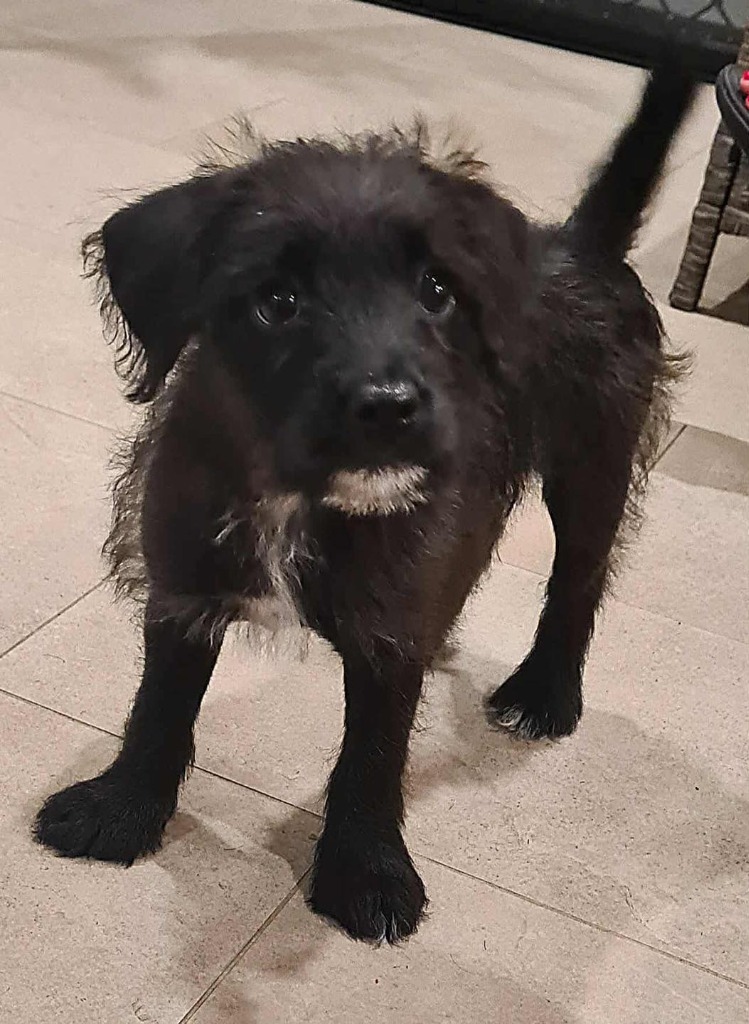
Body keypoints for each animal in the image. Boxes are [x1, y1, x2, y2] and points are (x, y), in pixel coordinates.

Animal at [34, 64, 695, 944]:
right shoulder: (185, 579)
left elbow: (375, 750)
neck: (297, 498)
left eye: (436, 290)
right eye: (276, 301)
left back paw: (544, 692)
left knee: (577, 582)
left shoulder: (391, 615)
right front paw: (123, 809)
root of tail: (583, 243)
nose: (387, 406)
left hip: (593, 468)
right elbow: (160, 703)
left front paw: (365, 870)